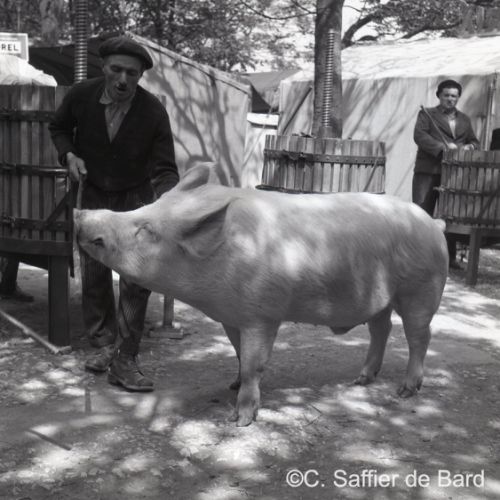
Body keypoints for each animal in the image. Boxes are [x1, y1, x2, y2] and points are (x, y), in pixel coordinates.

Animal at [74, 164, 448, 427]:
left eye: (146, 230)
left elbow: (256, 362)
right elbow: (239, 355)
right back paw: (361, 380)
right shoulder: (231, 316)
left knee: (420, 336)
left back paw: (405, 391)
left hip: (421, 289)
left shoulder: (262, 314)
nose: (80, 213)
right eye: (146, 206)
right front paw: (231, 384)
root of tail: (434, 225)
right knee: (381, 329)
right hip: (380, 297)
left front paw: (240, 419)